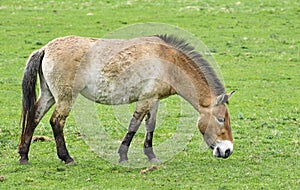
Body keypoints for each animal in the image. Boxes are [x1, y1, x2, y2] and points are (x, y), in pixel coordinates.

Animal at [18, 34, 236, 165]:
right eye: (220, 119)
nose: (227, 150)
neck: (168, 63)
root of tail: (45, 48)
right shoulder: (146, 99)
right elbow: (134, 124)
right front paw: (123, 156)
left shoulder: (154, 99)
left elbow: (150, 126)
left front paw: (151, 156)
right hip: (65, 97)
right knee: (56, 122)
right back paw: (67, 157)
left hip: (48, 95)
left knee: (34, 117)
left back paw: (24, 155)